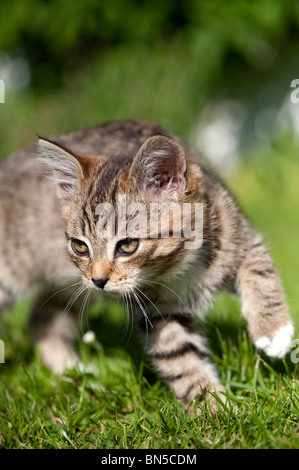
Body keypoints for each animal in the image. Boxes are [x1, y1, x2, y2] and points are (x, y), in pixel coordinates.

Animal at [0, 120, 294, 412]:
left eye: (128, 245)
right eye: (80, 246)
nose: (98, 280)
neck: (179, 266)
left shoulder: (241, 237)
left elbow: (260, 271)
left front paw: (273, 330)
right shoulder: (156, 313)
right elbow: (179, 358)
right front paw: (213, 409)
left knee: (41, 318)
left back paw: (73, 370)